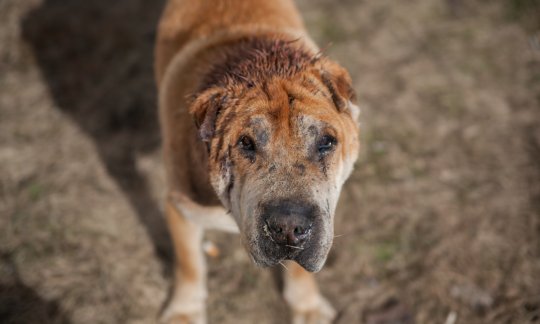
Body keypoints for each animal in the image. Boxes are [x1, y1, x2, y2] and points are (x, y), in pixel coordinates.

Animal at [154, 1, 360, 322]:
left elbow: (300, 272)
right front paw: (184, 312)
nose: (289, 226)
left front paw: (307, 307)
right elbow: (189, 263)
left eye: (326, 141)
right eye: (246, 143)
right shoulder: (179, 207)